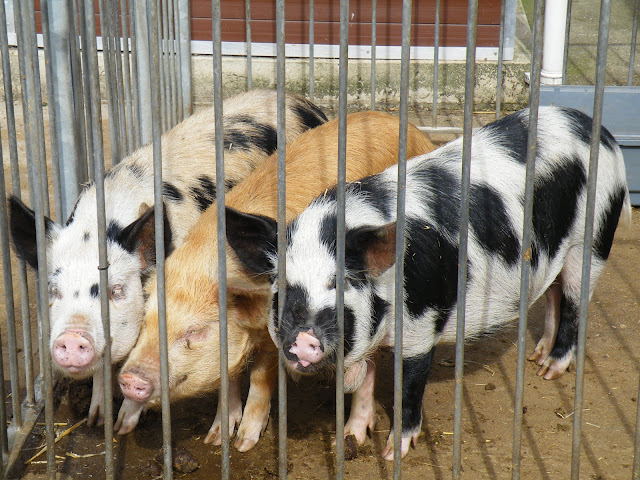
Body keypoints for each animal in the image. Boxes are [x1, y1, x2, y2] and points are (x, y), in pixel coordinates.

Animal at [8, 89, 327, 435]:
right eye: (53, 291)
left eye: (116, 290)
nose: (71, 337)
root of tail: (299, 100)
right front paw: (99, 421)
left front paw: (126, 425)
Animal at [118, 111, 436, 452]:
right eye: (145, 321)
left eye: (196, 331)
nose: (129, 379)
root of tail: (413, 130)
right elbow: (228, 378)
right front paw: (216, 439)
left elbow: (260, 378)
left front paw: (244, 442)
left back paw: (352, 435)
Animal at [225, 106, 631, 460]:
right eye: (282, 286)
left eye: (341, 281)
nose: (303, 339)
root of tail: (595, 128)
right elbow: (364, 384)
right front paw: (352, 436)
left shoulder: (420, 325)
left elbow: (408, 386)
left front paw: (393, 453)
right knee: (553, 294)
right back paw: (538, 355)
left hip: (594, 238)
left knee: (577, 304)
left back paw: (551, 370)